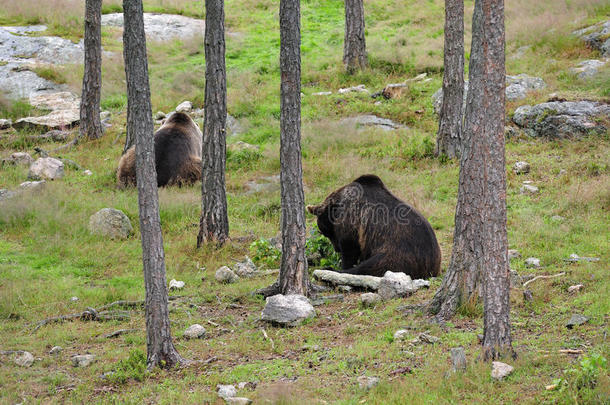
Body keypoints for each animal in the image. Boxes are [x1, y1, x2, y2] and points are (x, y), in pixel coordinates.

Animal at [306, 174, 440, 278]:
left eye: (326, 232)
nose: (336, 248)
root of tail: (431, 266)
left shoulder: (351, 221)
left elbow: (350, 248)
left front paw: (343, 265)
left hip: (398, 253)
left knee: (372, 266)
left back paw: (330, 269)